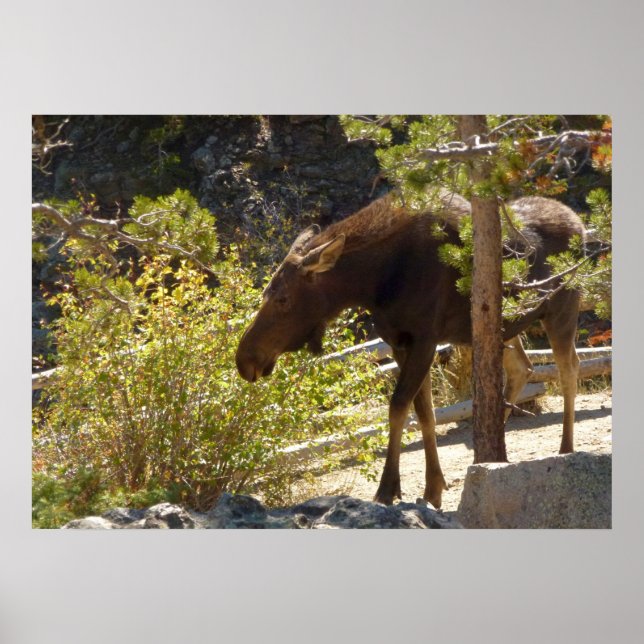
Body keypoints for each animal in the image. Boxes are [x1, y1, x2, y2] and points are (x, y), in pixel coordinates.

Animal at [236, 192, 585, 508]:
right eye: (266, 293)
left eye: (282, 298)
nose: (245, 360)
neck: (375, 283)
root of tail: (581, 225)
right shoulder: (399, 343)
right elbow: (424, 412)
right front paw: (433, 488)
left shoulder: (425, 338)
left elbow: (398, 407)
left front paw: (387, 489)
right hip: (508, 326)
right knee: (525, 368)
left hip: (561, 310)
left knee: (569, 369)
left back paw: (566, 449)